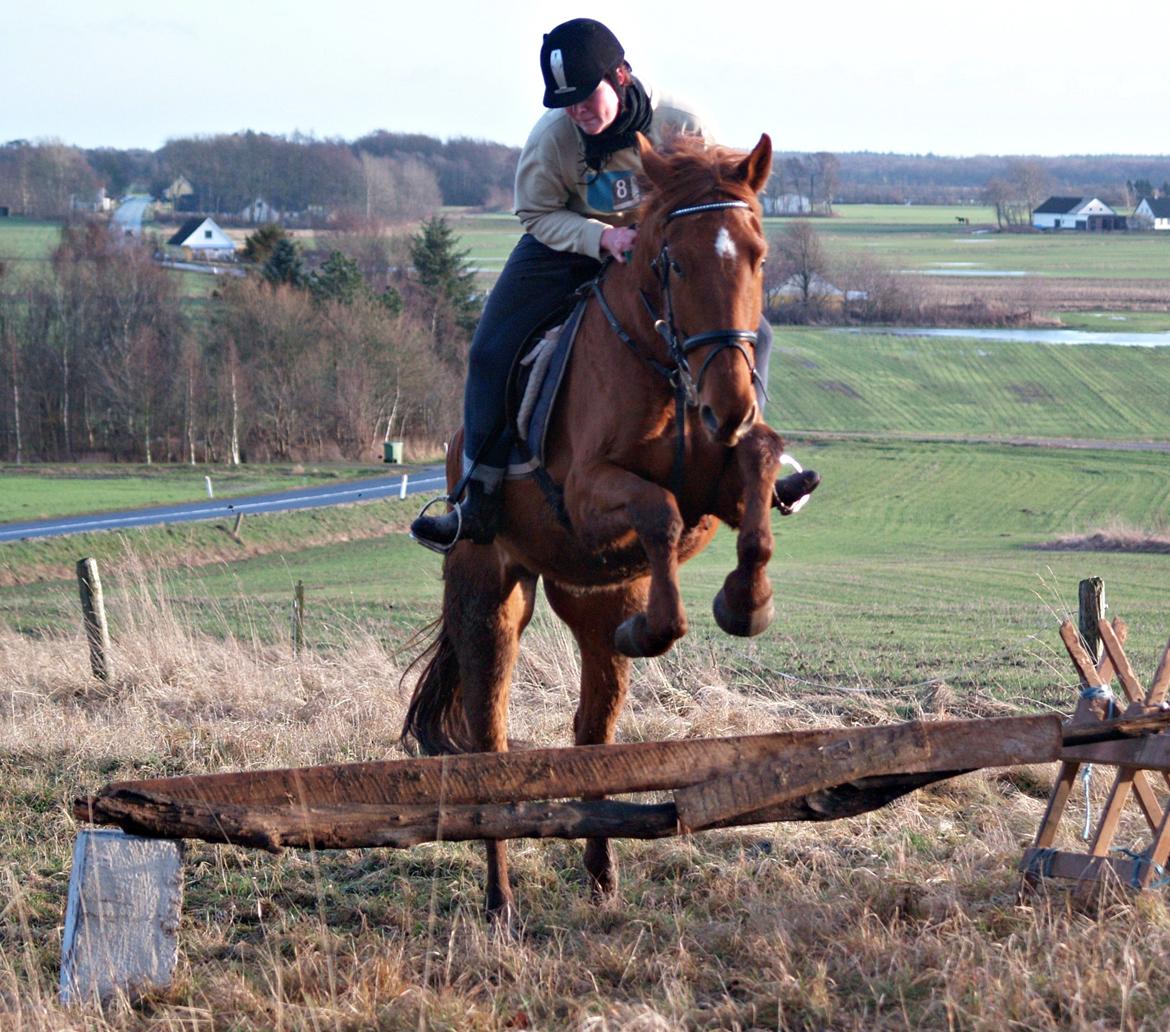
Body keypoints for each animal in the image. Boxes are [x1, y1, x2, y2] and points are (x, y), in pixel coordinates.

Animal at [402, 130, 814, 917]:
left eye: (759, 255)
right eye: (674, 262)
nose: (730, 402)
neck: (667, 368)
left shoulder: (722, 481)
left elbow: (755, 470)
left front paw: (746, 604)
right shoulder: (590, 492)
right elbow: (659, 507)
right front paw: (671, 623)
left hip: (592, 597)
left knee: (593, 734)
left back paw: (600, 871)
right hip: (489, 591)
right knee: (488, 741)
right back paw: (500, 900)